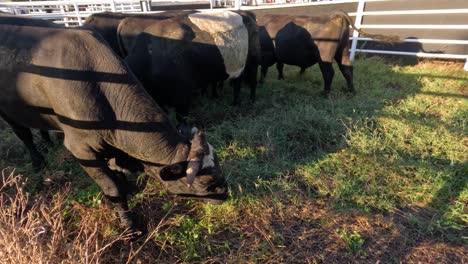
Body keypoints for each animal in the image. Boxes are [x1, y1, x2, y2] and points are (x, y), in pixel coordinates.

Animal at [0, 13, 227, 235]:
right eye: (206, 182)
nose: (226, 192)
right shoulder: (82, 150)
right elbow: (113, 189)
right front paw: (130, 224)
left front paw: (128, 188)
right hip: (9, 113)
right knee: (24, 135)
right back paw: (38, 161)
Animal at [258, 11, 400, 96]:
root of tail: (336, 14)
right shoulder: (277, 55)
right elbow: (279, 66)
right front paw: (280, 78)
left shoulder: (266, 55)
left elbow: (264, 69)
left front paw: (261, 82)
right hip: (343, 51)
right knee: (347, 69)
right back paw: (351, 91)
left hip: (324, 56)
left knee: (329, 73)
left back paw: (325, 93)